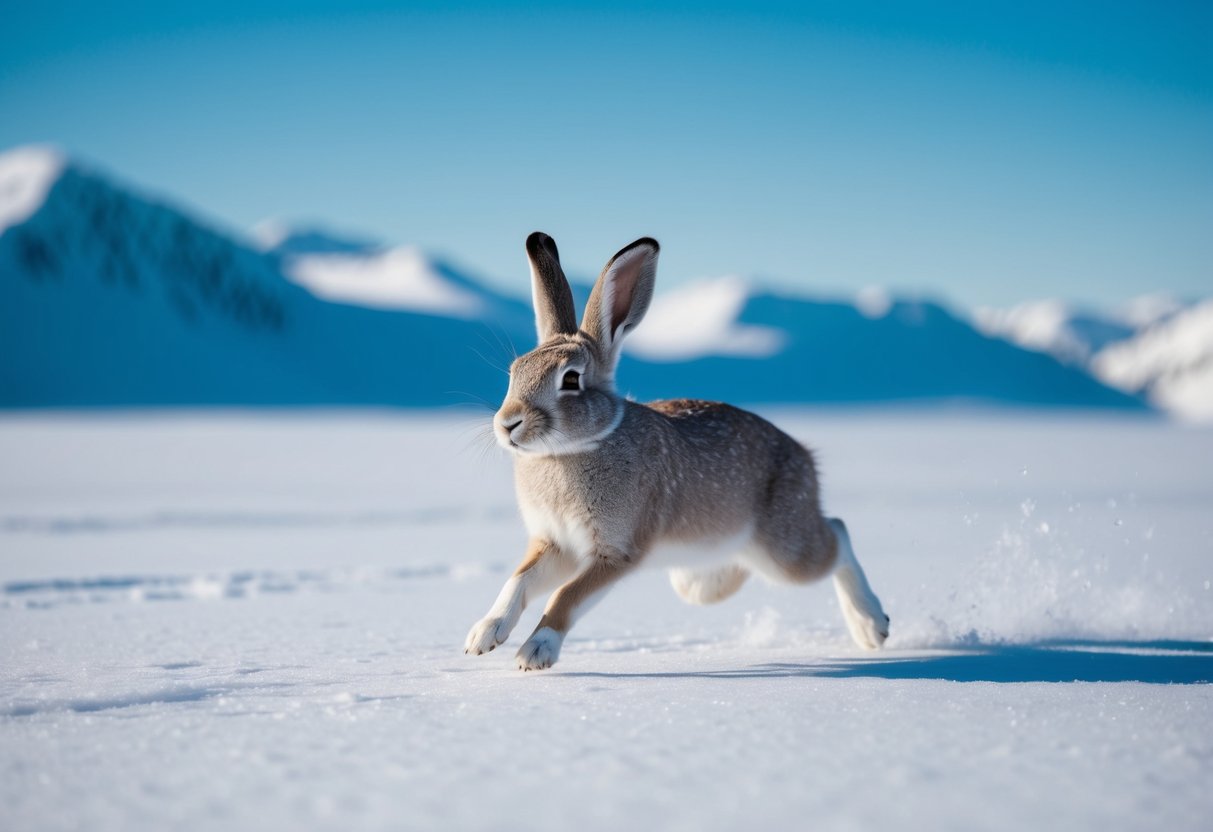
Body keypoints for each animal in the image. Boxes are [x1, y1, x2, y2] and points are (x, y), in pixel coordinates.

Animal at [464, 232, 889, 670]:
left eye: (570, 379)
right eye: (515, 372)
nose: (508, 423)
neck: (573, 449)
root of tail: (805, 457)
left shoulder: (616, 552)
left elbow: (567, 595)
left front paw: (535, 652)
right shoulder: (554, 543)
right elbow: (519, 580)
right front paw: (483, 635)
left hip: (786, 552)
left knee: (837, 533)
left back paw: (872, 625)